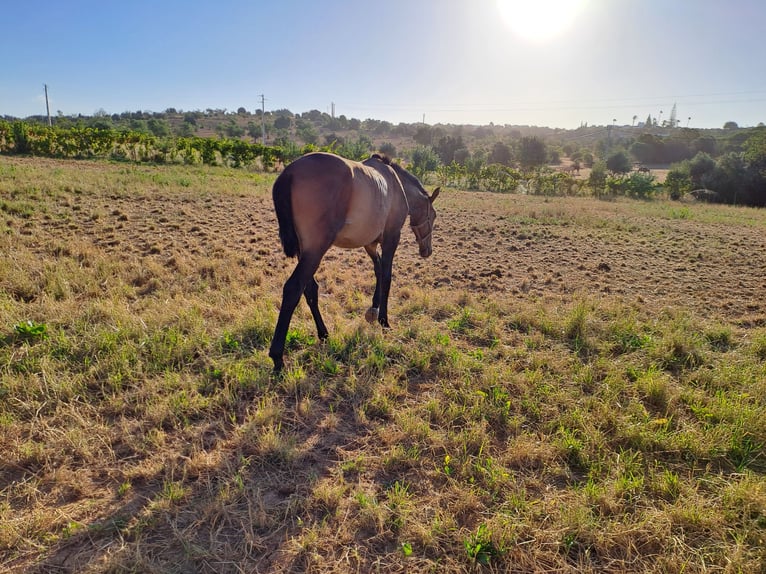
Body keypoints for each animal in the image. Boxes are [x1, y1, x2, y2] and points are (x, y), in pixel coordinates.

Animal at [270, 152, 440, 374]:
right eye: (433, 215)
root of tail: (290, 172)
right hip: (315, 250)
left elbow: (378, 271)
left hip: (304, 251)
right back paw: (277, 357)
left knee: (310, 289)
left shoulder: (370, 244)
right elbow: (387, 277)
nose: (427, 251)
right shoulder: (391, 237)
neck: (395, 184)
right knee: (293, 289)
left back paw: (323, 333)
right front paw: (384, 321)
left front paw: (374, 308)